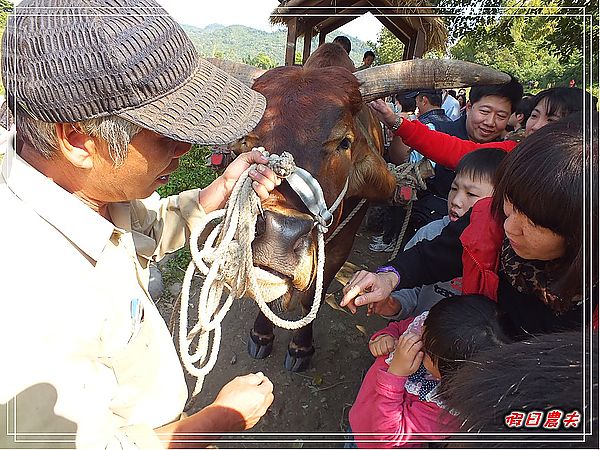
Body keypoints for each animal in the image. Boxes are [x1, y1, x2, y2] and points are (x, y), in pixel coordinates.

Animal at [209, 44, 508, 370]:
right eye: (247, 140)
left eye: (344, 142)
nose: (280, 235)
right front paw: (262, 334)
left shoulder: (341, 245)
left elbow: (312, 295)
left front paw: (301, 347)